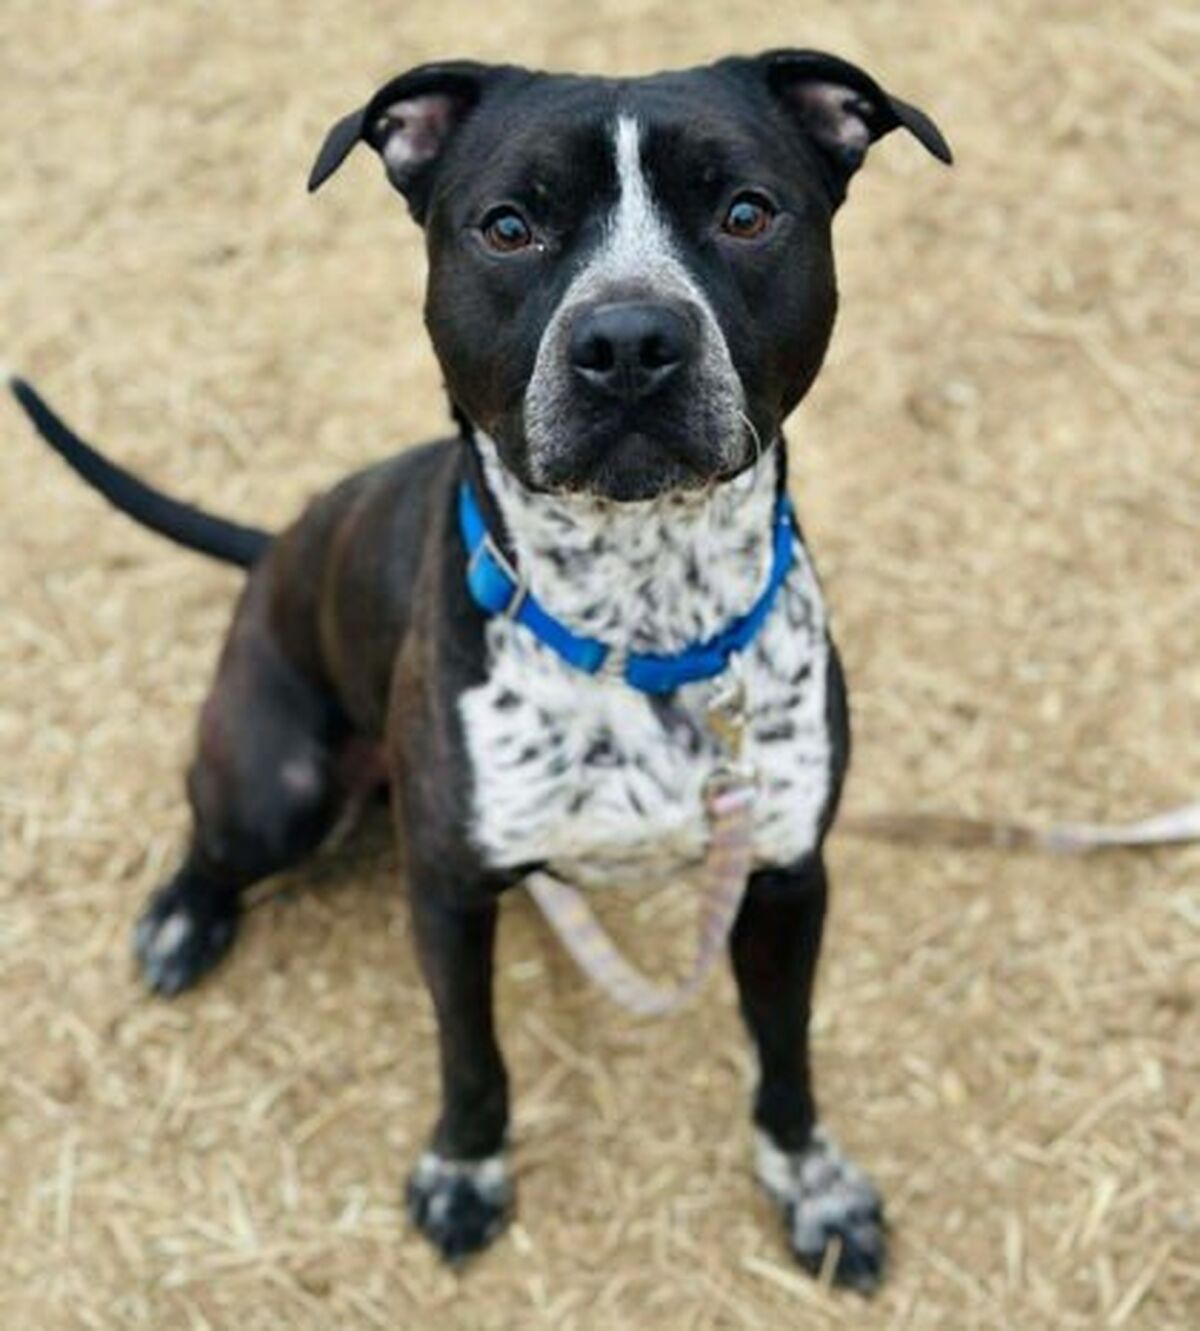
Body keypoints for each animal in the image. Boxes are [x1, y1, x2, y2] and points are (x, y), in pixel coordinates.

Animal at [11, 49, 950, 1289]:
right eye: (509, 227)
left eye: (747, 213)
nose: (629, 342)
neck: (643, 618)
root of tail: (277, 545)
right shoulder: (451, 892)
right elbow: (471, 1054)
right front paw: (465, 1169)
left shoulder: (789, 876)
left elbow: (785, 1052)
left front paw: (814, 1183)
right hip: (276, 784)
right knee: (218, 837)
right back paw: (184, 916)